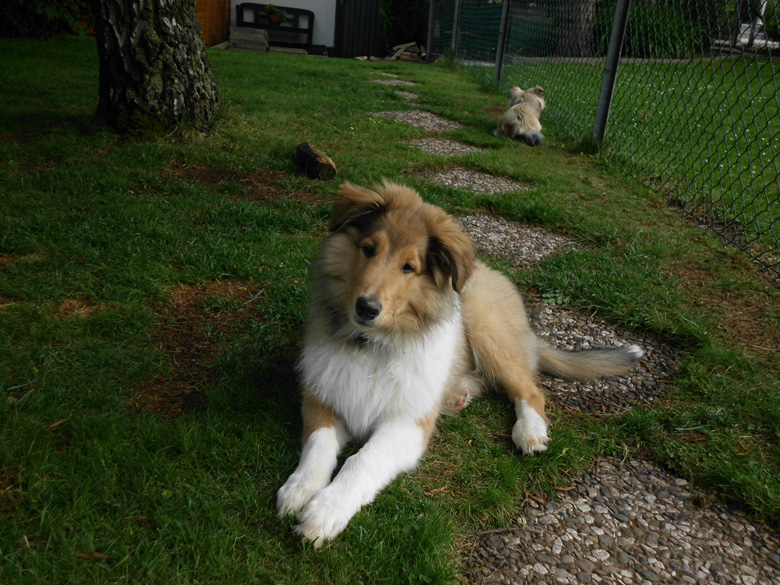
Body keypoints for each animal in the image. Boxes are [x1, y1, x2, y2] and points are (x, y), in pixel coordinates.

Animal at [277, 181, 643, 547]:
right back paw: (459, 395)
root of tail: (488, 270)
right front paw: (299, 489)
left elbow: (362, 460)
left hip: (486, 328)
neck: (375, 344)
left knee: (528, 388)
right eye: (368, 249)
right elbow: (319, 444)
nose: (366, 308)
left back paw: (530, 430)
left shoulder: (409, 422)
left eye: (409, 267)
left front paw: (326, 511)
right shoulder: (323, 397)